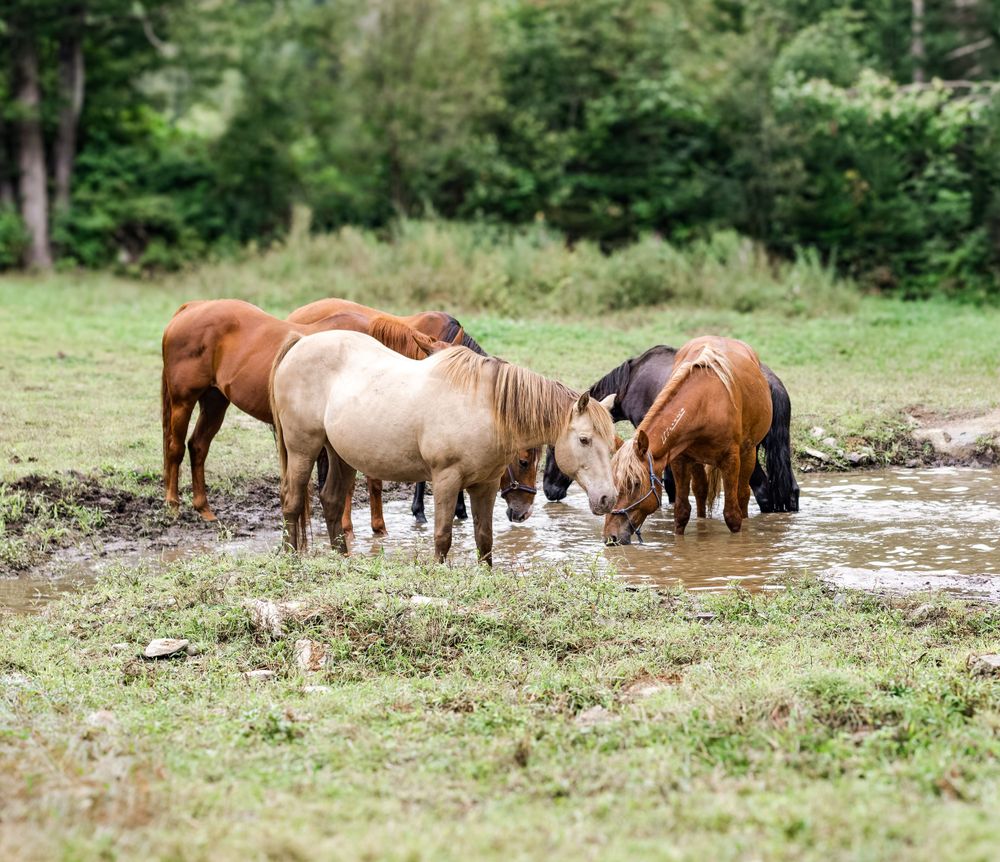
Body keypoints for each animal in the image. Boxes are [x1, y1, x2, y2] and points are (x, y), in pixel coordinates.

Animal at [161, 299, 450, 527]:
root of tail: (192, 307)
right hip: (183, 400)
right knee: (175, 448)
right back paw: (173, 505)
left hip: (215, 401)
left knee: (198, 446)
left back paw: (204, 509)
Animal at [268, 332, 618, 563]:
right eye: (584, 439)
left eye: (611, 444)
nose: (608, 498)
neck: (483, 405)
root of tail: (300, 342)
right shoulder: (446, 479)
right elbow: (442, 536)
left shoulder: (485, 484)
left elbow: (484, 538)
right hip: (302, 449)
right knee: (292, 501)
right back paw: (290, 558)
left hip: (340, 454)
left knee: (330, 500)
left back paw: (343, 559)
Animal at [543, 344, 798, 513]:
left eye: (552, 448)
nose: (548, 490)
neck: (630, 381)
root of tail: (770, 384)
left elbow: (668, 484)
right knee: (790, 490)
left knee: (763, 491)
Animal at [603, 336, 772, 544]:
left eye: (635, 483)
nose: (611, 537)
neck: (705, 403)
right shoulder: (680, 460)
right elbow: (682, 513)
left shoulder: (731, 461)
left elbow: (733, 516)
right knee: (701, 493)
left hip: (749, 454)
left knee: (743, 496)